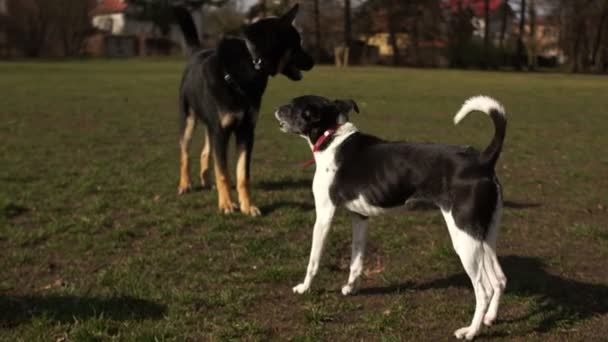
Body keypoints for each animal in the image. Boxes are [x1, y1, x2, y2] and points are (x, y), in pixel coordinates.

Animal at [172, 4, 312, 215]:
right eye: (297, 43)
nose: (313, 61)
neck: (251, 61)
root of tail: (197, 53)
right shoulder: (221, 132)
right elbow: (223, 172)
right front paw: (226, 204)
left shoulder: (246, 132)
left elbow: (242, 175)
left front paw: (247, 206)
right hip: (189, 120)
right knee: (185, 155)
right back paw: (185, 184)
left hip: (210, 128)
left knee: (205, 152)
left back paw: (206, 181)